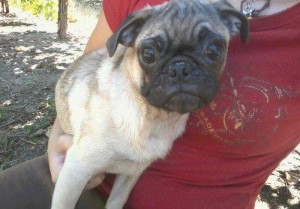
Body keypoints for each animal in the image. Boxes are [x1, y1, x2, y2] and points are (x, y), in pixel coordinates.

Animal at [51, 0, 248, 209]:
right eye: (148, 54)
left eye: (214, 51)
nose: (180, 67)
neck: (154, 118)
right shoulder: (76, 170)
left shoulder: (130, 175)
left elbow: (116, 201)